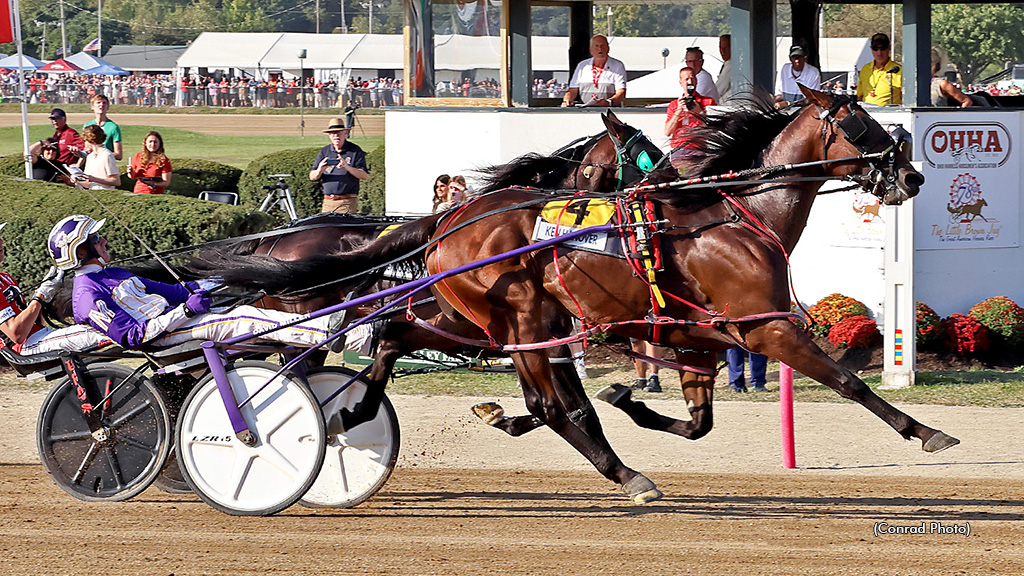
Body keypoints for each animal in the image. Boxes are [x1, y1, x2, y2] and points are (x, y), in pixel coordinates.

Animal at [207, 86, 958, 502]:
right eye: (861, 125)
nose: (911, 174)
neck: (737, 215)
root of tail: (452, 215)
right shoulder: (763, 326)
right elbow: (848, 382)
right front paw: (927, 432)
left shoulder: (700, 335)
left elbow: (698, 419)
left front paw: (630, 399)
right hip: (519, 317)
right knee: (546, 401)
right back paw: (624, 474)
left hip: (480, 316)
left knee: (396, 335)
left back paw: (359, 407)